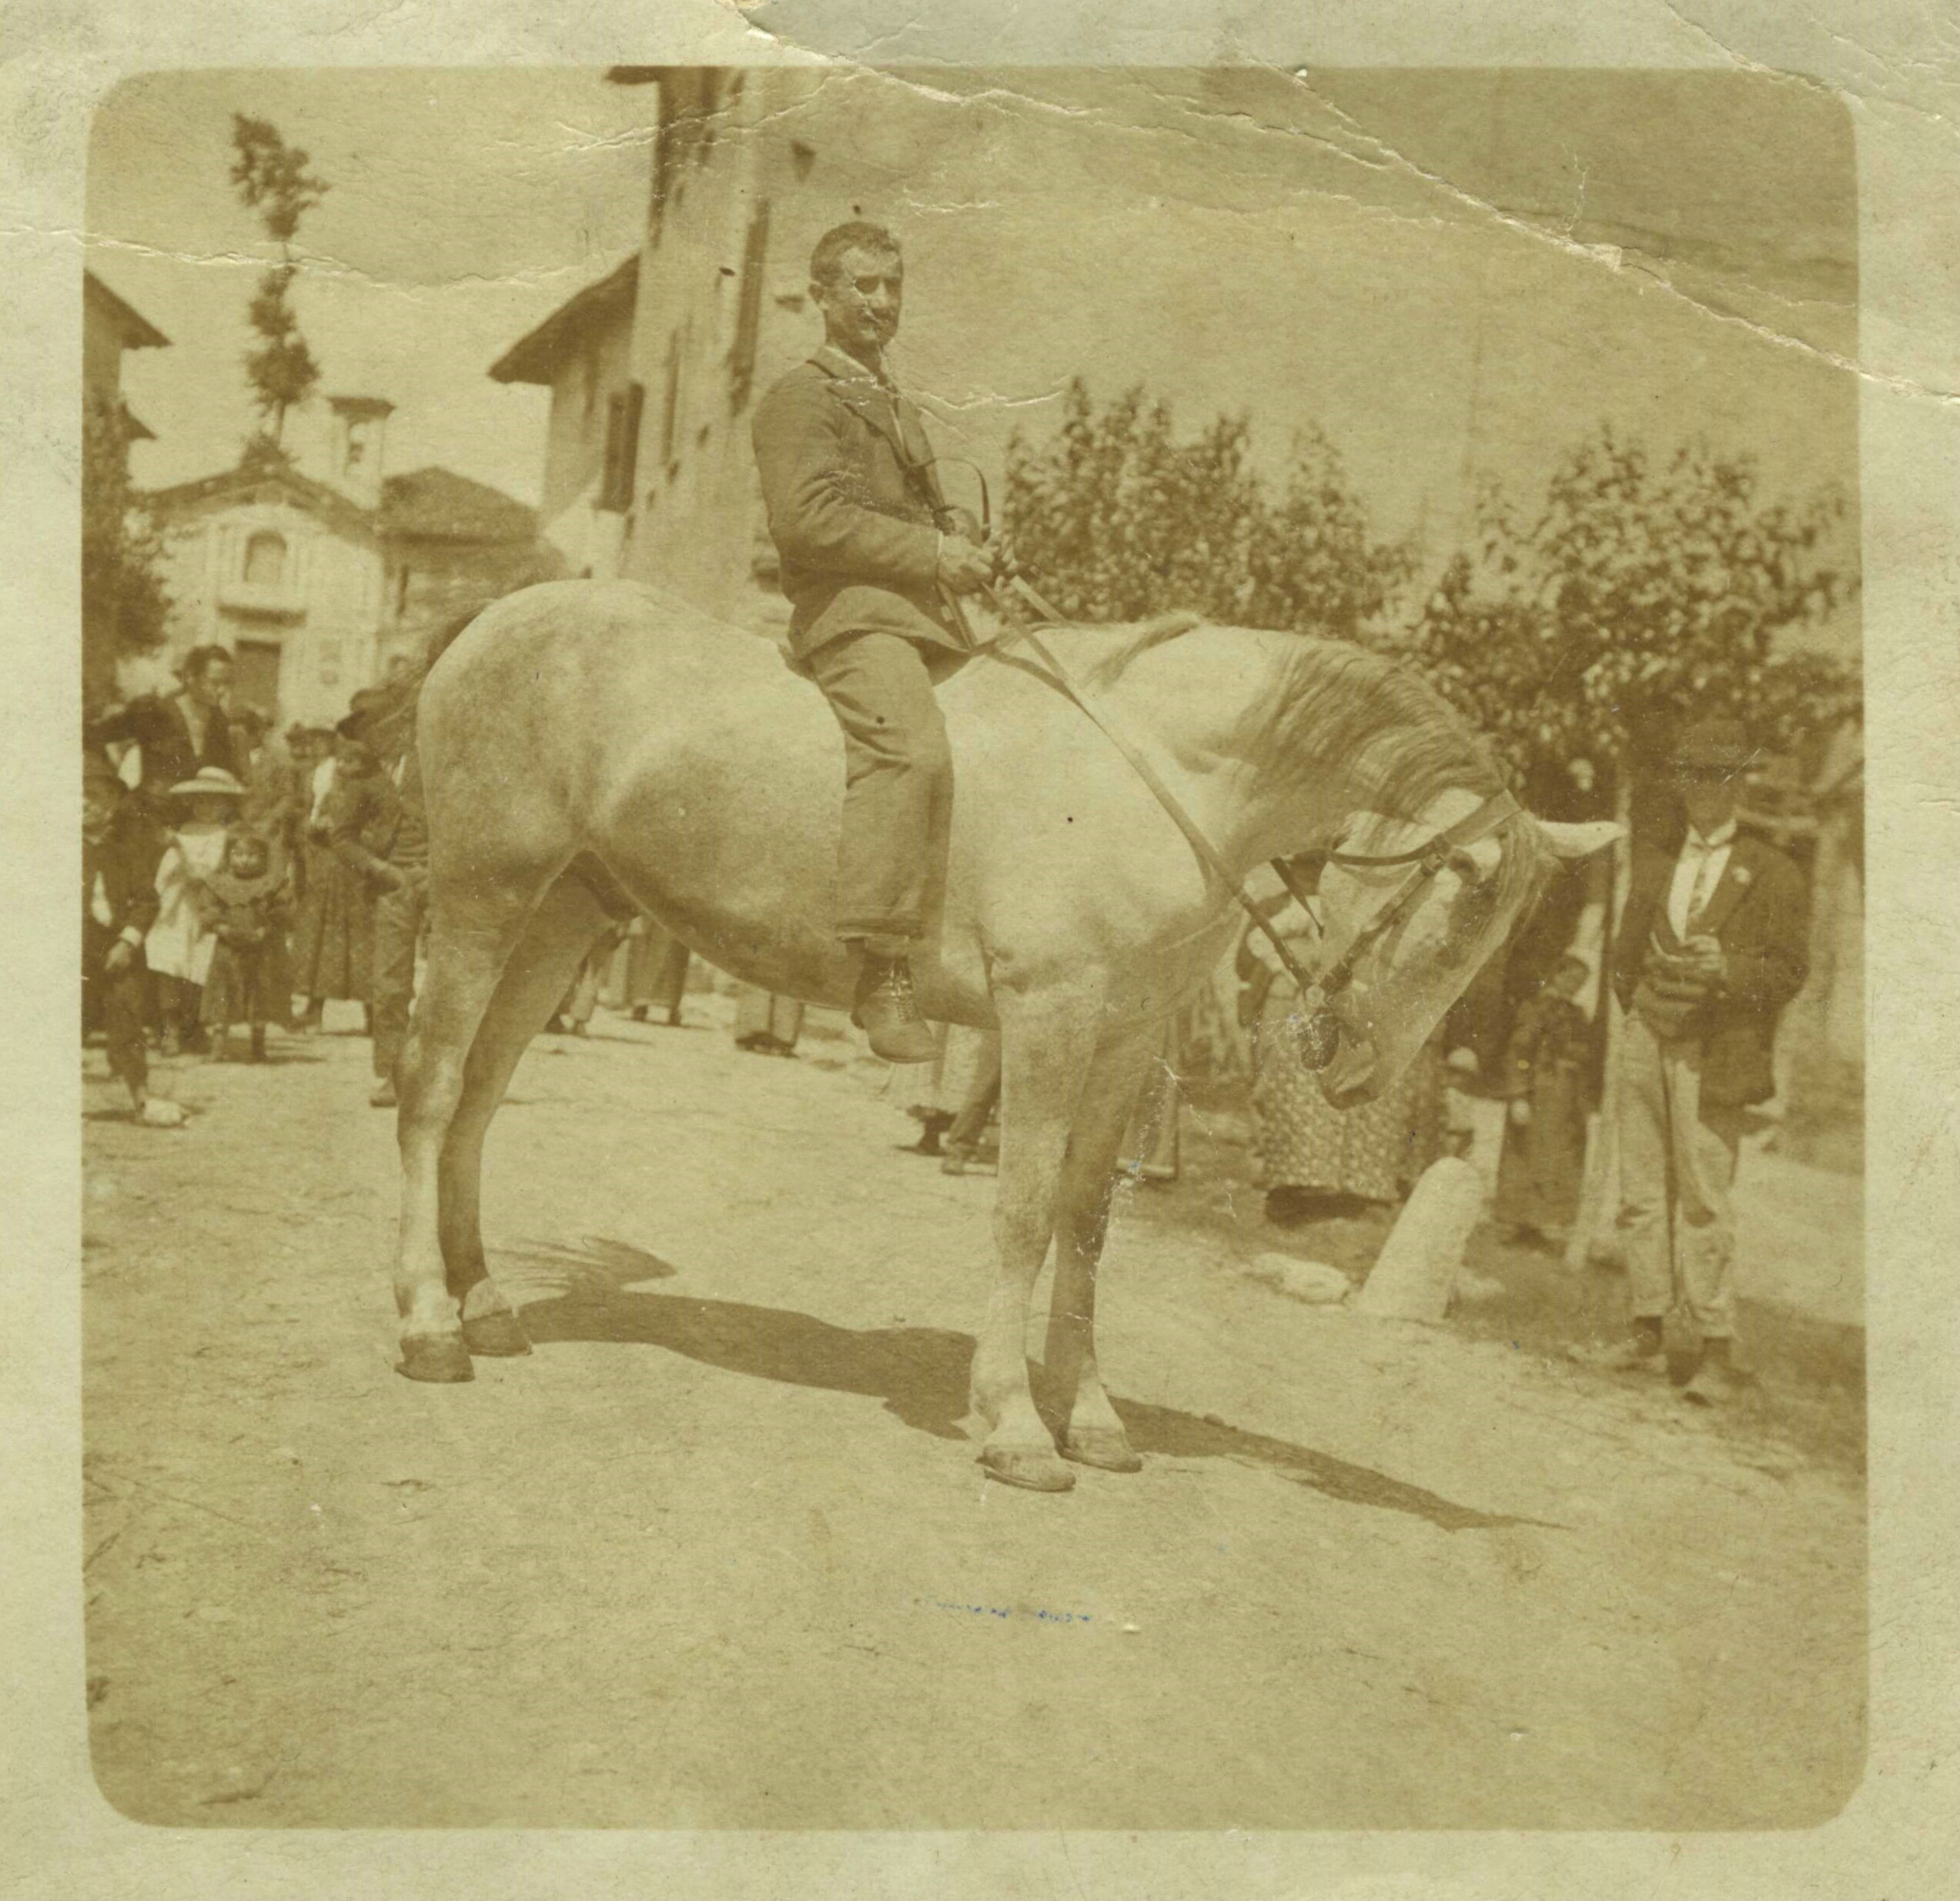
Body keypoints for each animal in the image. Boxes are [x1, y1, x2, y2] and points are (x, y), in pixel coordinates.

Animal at [390, 576, 1614, 1482]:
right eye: (1461, 900)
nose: (1360, 1074)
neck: (1157, 775)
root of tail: (494, 618)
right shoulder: (1047, 1017)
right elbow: (1021, 1214)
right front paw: (1015, 1423)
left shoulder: (1125, 1040)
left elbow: (1084, 1223)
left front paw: (1093, 1415)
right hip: (483, 899)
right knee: (435, 1092)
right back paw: (426, 1325)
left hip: (562, 916)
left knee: (482, 1101)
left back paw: (484, 1305)